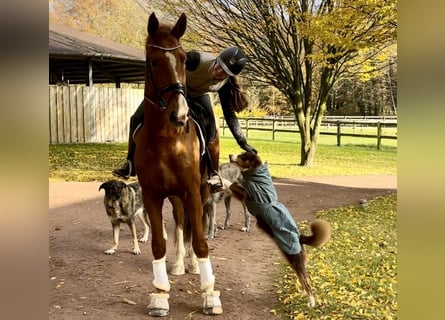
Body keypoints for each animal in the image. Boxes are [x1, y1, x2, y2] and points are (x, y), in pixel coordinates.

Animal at [132, 13, 222, 318]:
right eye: (154, 61)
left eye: (183, 59)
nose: (181, 114)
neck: (167, 138)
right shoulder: (153, 196)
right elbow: (159, 244)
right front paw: (160, 294)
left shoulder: (193, 192)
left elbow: (202, 242)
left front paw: (209, 294)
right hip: (175, 197)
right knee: (182, 226)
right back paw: (181, 264)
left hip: (200, 192)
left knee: (195, 227)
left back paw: (193, 265)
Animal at [229, 151, 330, 306]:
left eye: (243, 156)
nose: (229, 155)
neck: (256, 176)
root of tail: (300, 237)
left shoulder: (245, 195)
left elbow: (229, 184)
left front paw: (216, 179)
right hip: (293, 261)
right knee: (304, 278)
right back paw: (303, 294)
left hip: (294, 260)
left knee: (307, 281)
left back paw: (311, 302)